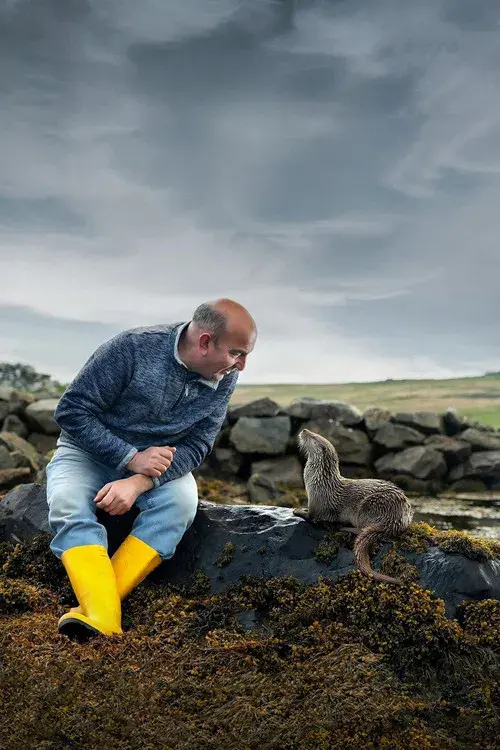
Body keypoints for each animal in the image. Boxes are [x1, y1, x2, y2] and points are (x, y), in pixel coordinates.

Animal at [294, 428, 414, 585]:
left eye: (314, 437)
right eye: (314, 433)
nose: (304, 430)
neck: (319, 480)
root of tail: (396, 520)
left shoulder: (317, 501)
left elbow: (311, 516)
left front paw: (298, 510)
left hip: (368, 506)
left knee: (361, 528)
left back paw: (345, 527)